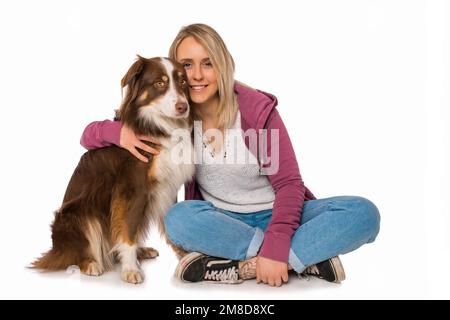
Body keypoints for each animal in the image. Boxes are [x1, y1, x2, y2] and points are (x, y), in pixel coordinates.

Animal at [31, 56, 193, 284]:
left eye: (183, 82)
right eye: (159, 83)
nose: (183, 107)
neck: (156, 127)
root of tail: (55, 250)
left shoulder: (167, 185)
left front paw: (185, 255)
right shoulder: (133, 189)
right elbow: (128, 230)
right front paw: (130, 269)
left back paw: (140, 252)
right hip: (79, 214)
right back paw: (91, 264)